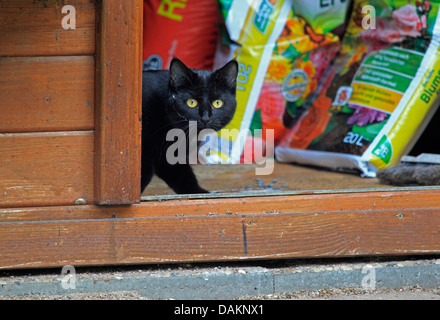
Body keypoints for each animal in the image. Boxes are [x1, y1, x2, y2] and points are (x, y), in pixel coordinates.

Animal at [141, 57, 237, 194]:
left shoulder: (169, 156)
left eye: (217, 103)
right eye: (191, 102)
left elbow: (182, 176)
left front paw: (200, 193)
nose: (205, 118)